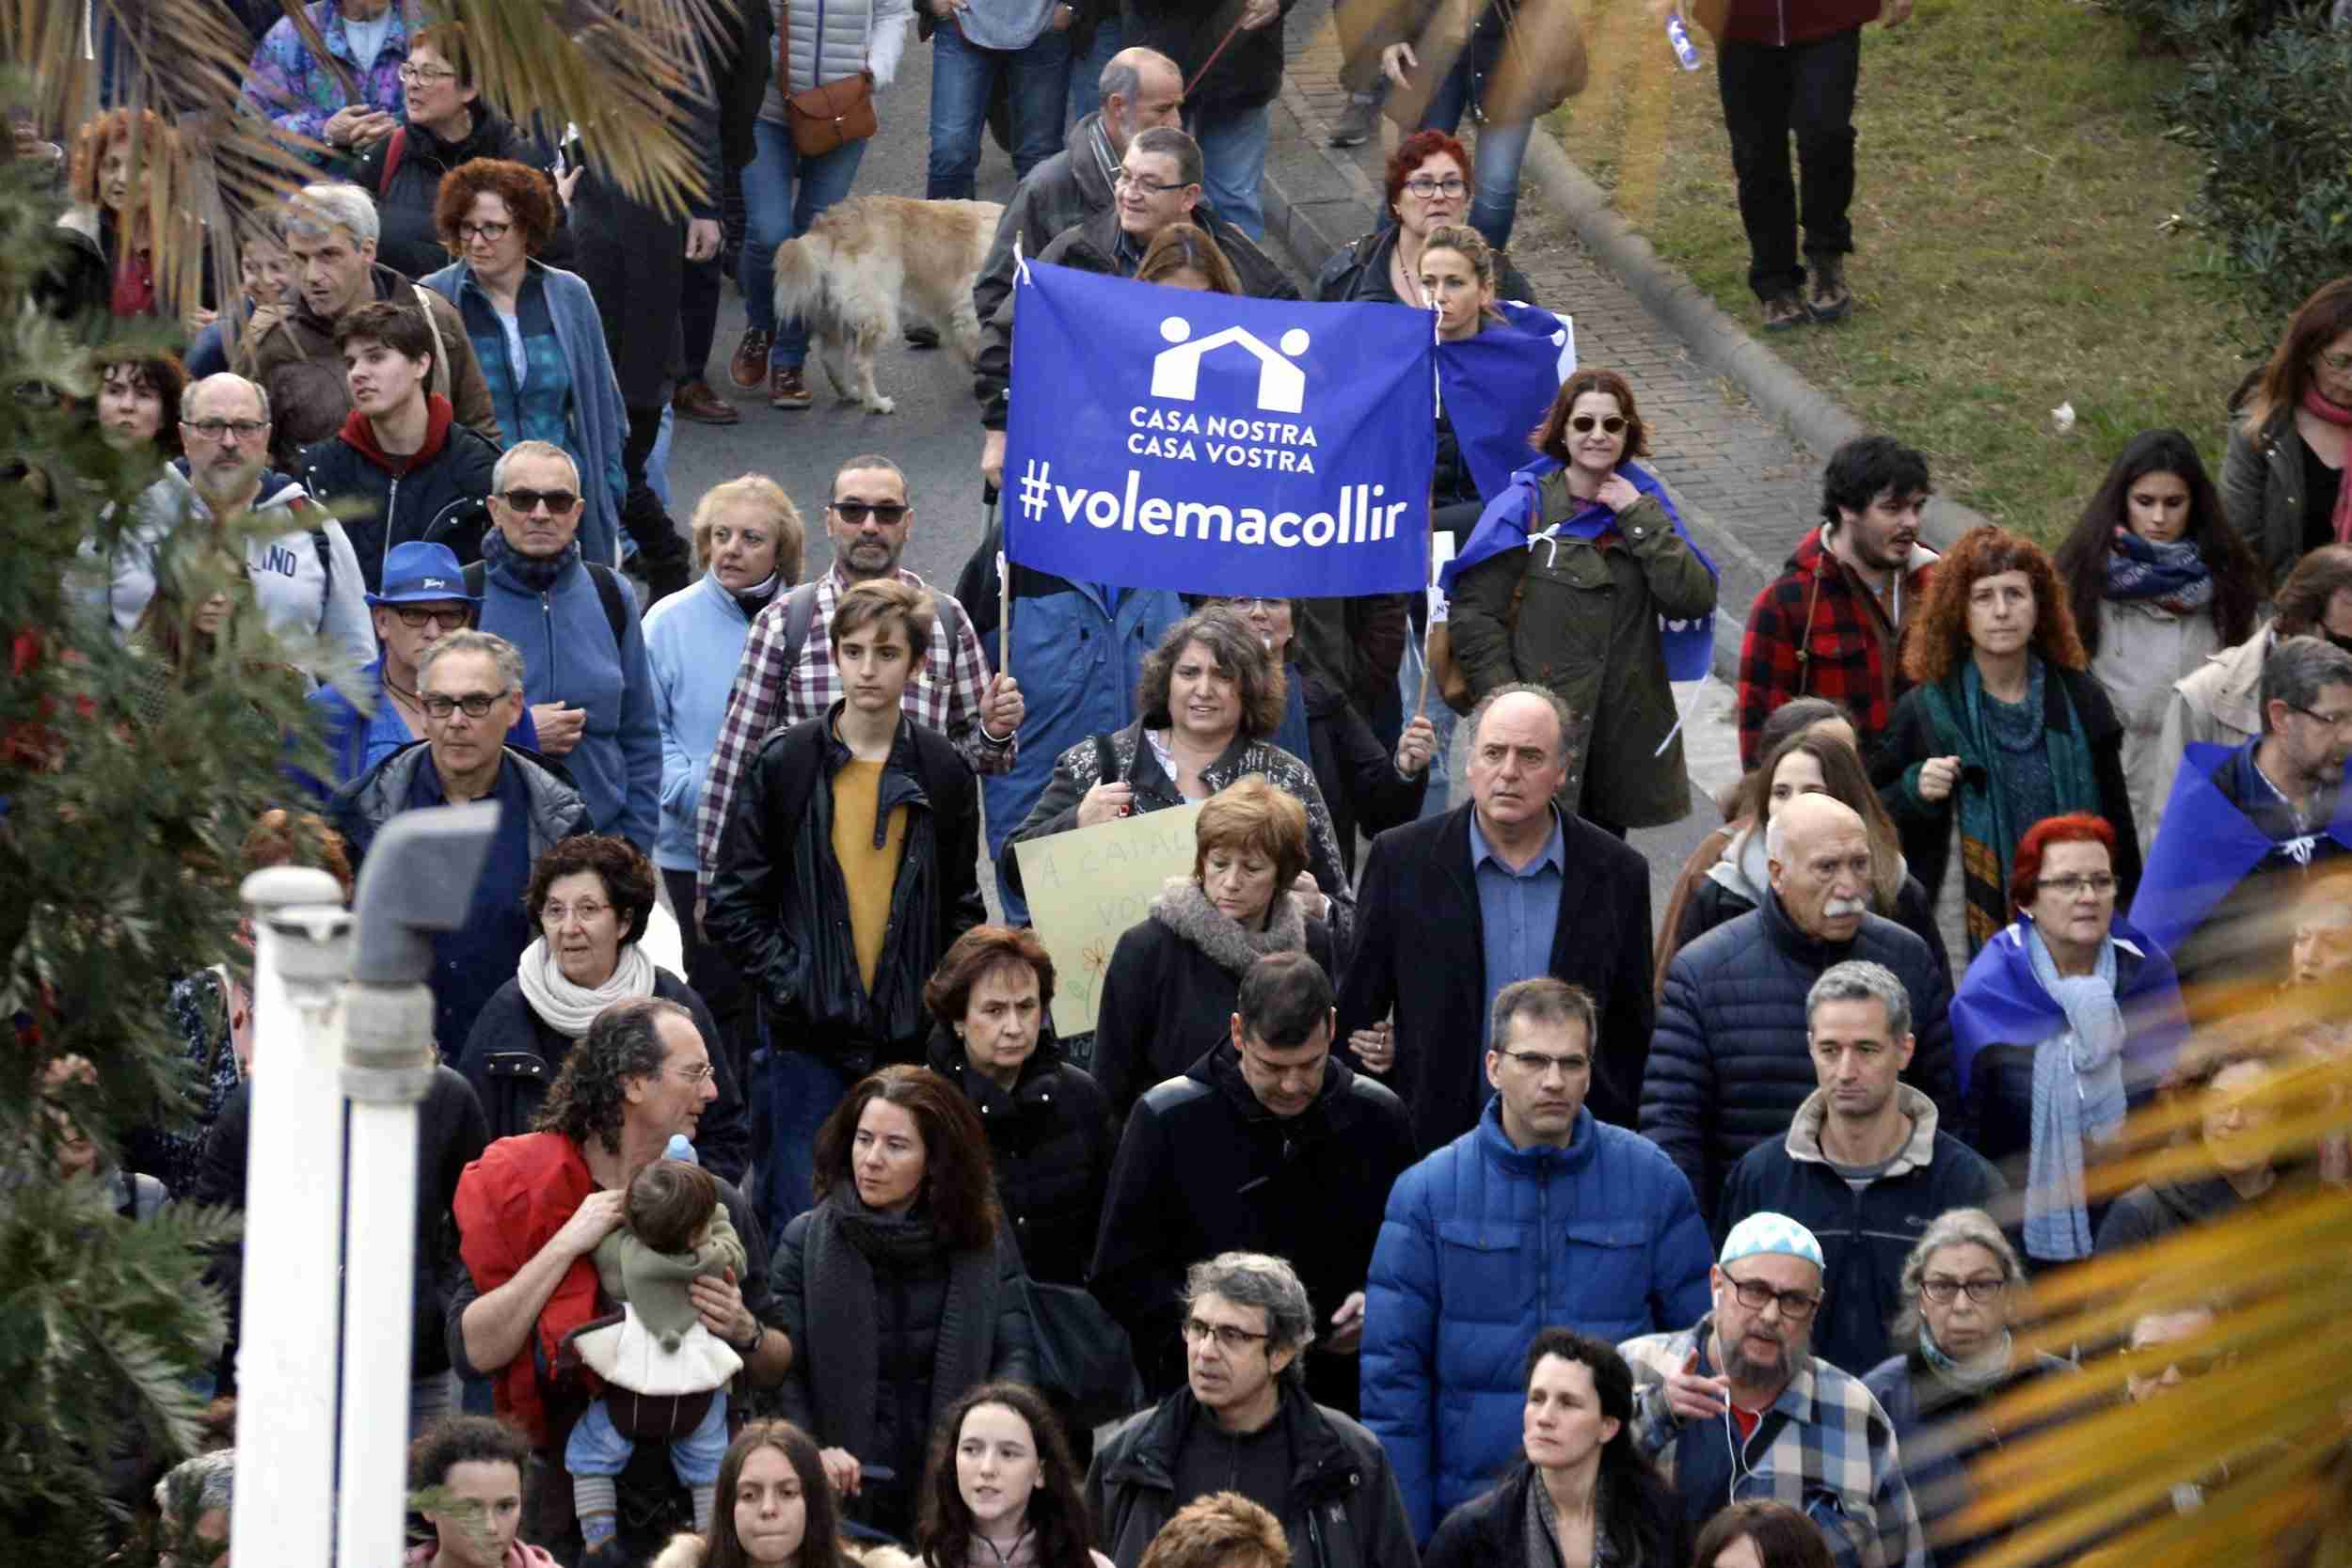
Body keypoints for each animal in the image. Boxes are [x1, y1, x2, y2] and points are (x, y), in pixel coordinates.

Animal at [767, 195, 997, 413]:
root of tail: (833, 223)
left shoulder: (951, 309)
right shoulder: (969, 308)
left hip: (834, 316)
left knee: (830, 358)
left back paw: (852, 394)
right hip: (878, 315)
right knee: (860, 364)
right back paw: (876, 404)